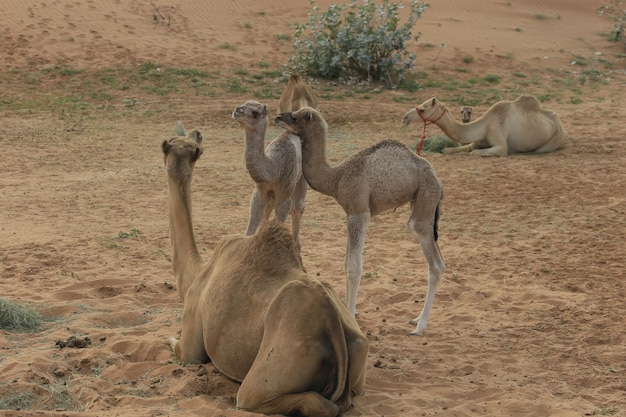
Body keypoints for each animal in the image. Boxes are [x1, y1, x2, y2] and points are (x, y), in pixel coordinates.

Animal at [230, 74, 314, 249]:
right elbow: (254, 221)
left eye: (255, 112)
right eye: (244, 104)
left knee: (298, 207)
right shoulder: (260, 191)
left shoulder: (284, 194)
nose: (237, 110)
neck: (273, 169)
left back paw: (297, 245)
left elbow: (279, 219)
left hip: (301, 179)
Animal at [272, 106, 444, 334]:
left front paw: (352, 317)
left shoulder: (359, 212)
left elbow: (354, 268)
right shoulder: (349, 214)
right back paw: (415, 319)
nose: (277, 117)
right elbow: (346, 264)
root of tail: (438, 180)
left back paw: (420, 327)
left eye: (295, 116)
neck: (337, 177)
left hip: (426, 199)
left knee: (434, 261)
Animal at [402, 94, 568, 156]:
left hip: (554, 140)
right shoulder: (476, 142)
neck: (484, 126)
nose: (405, 118)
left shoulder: (501, 145)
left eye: (422, 109)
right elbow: (448, 149)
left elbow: (475, 153)